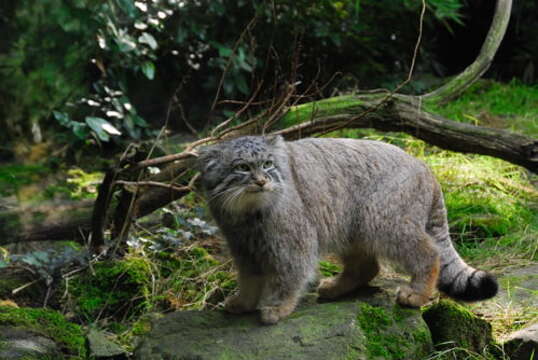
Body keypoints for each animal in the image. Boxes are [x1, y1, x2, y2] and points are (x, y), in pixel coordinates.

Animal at [195, 136, 496, 324]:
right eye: (242, 167)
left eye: (267, 164)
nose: (261, 181)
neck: (249, 215)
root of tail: (426, 167)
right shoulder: (243, 248)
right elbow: (249, 279)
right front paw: (244, 302)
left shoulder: (294, 244)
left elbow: (287, 277)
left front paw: (277, 307)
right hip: (350, 226)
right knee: (367, 266)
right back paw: (337, 289)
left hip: (383, 222)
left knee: (429, 253)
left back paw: (416, 294)